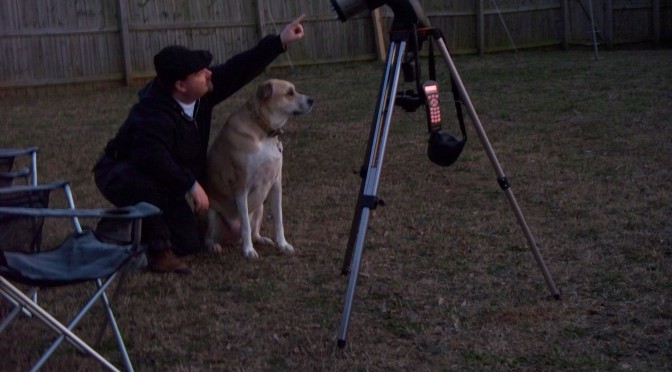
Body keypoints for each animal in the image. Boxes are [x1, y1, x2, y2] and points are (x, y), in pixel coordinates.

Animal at [203, 78, 314, 258]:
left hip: (259, 207)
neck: (263, 132)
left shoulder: (276, 184)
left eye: (294, 90)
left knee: (254, 232)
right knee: (209, 236)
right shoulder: (241, 187)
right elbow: (245, 226)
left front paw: (282, 244)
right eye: (289, 93)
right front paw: (248, 251)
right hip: (211, 212)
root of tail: (233, 239)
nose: (312, 100)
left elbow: (278, 219)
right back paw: (214, 246)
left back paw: (262, 240)